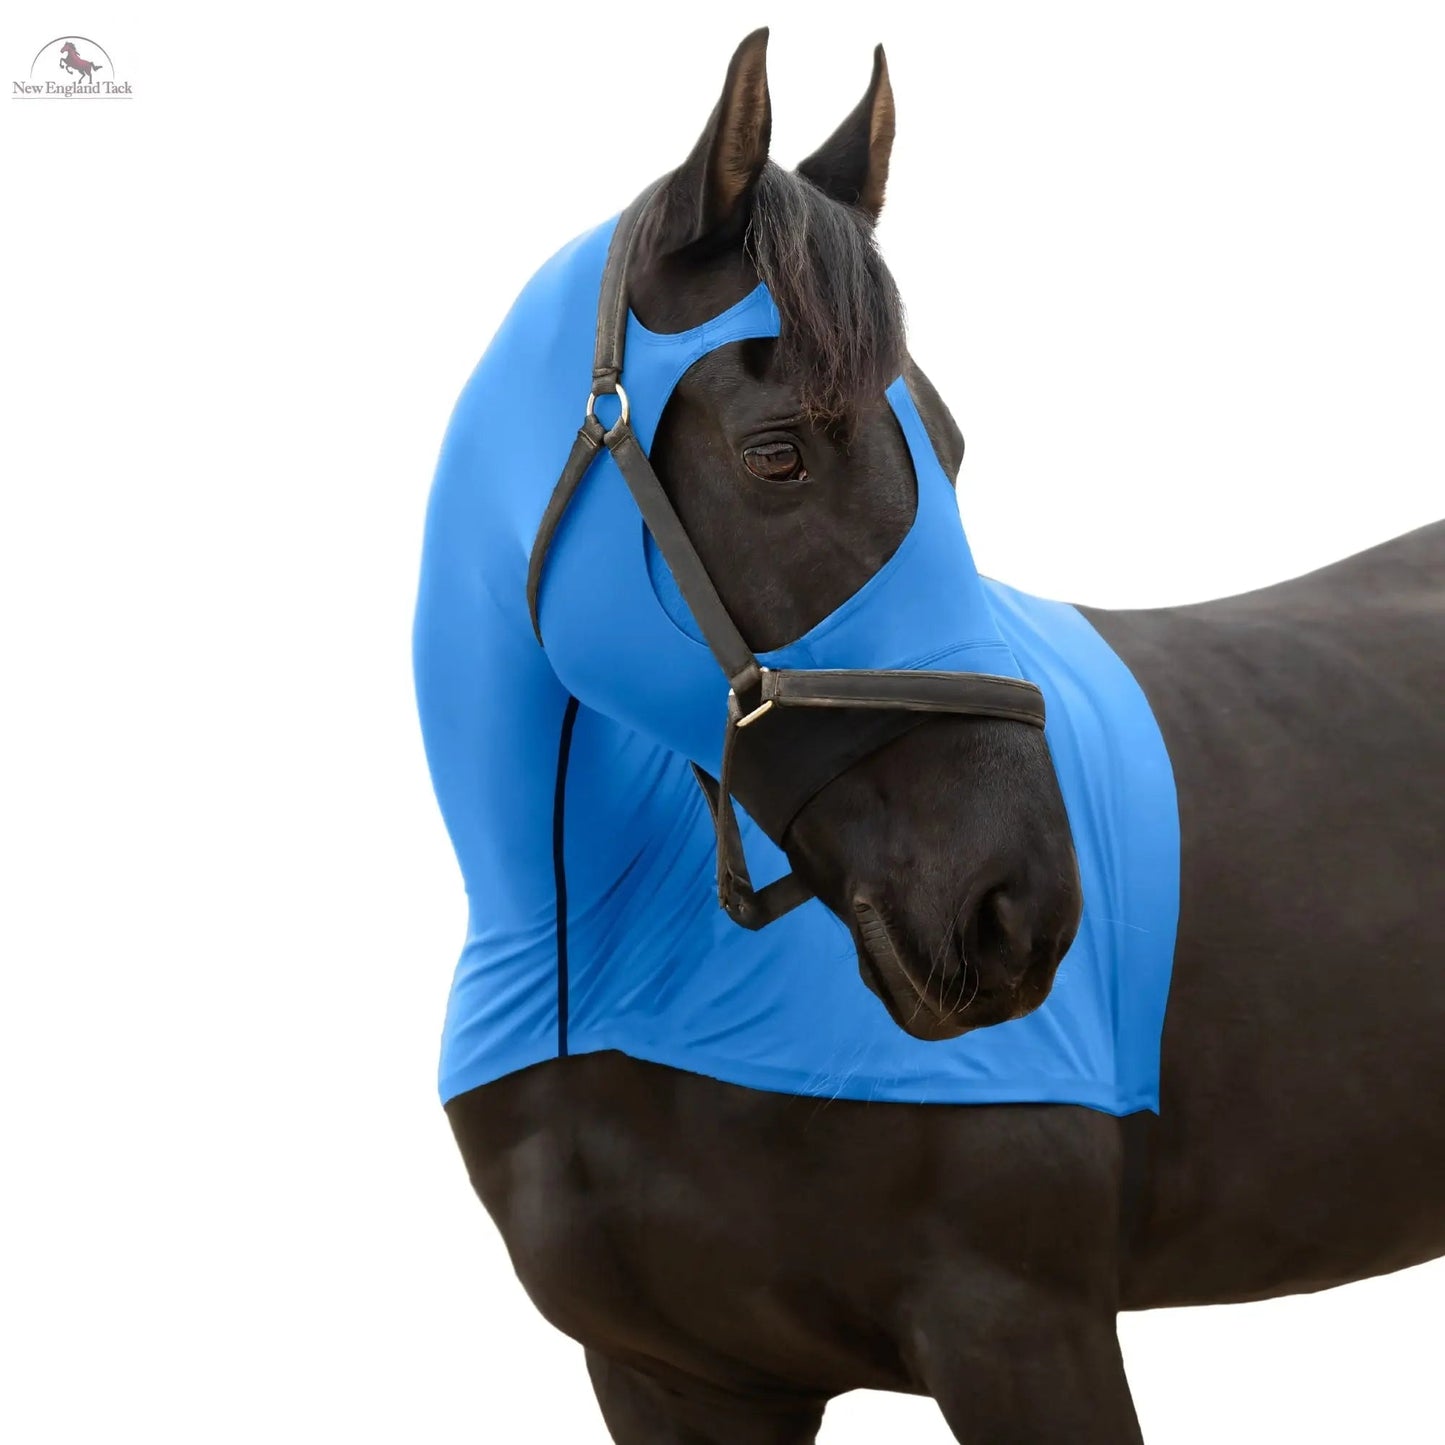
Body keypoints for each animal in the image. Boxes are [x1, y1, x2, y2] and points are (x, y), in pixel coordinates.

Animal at [418, 30, 1445, 1443]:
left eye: (951, 451)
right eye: (777, 453)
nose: (1015, 906)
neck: (604, 971)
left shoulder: (1018, 1327)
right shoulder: (670, 1379)